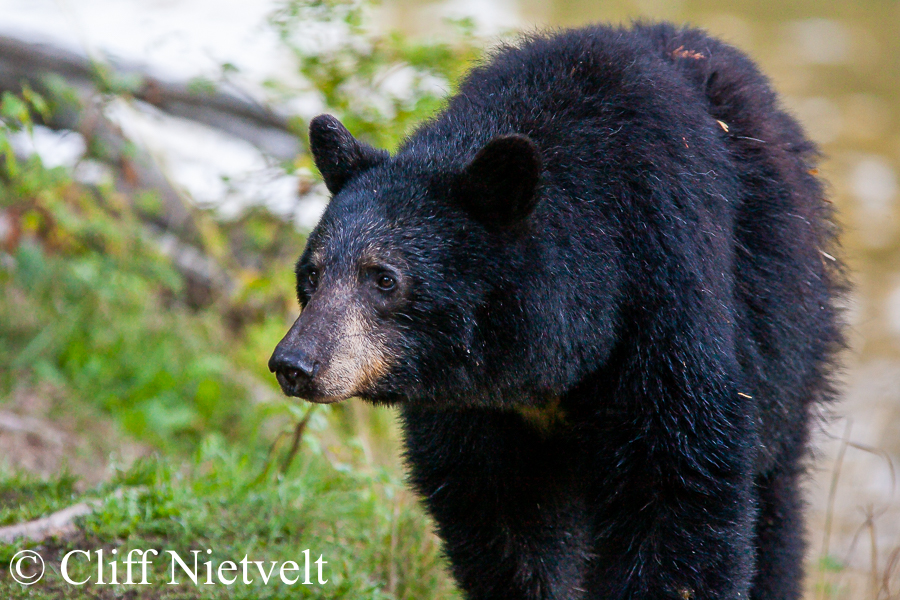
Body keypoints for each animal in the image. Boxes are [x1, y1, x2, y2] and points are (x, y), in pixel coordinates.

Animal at [269, 22, 845, 600]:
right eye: (311, 275)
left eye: (384, 279)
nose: (294, 364)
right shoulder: (478, 412)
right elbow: (501, 520)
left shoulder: (665, 301)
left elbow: (679, 490)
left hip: (788, 345)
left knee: (775, 509)